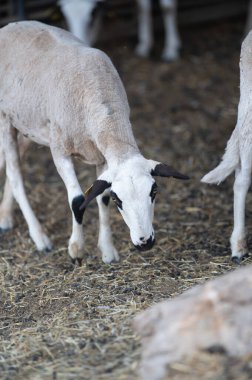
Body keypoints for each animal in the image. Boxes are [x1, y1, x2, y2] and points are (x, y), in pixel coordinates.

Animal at [0, 20, 188, 264]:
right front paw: (76, 249)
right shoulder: (60, 151)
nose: (145, 242)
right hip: (5, 119)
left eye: (154, 191)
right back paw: (39, 237)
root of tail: (10, 26)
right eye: (120, 201)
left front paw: (108, 251)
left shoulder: (103, 157)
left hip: (28, 126)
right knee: (15, 174)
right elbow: (78, 200)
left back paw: (5, 217)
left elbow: (101, 197)